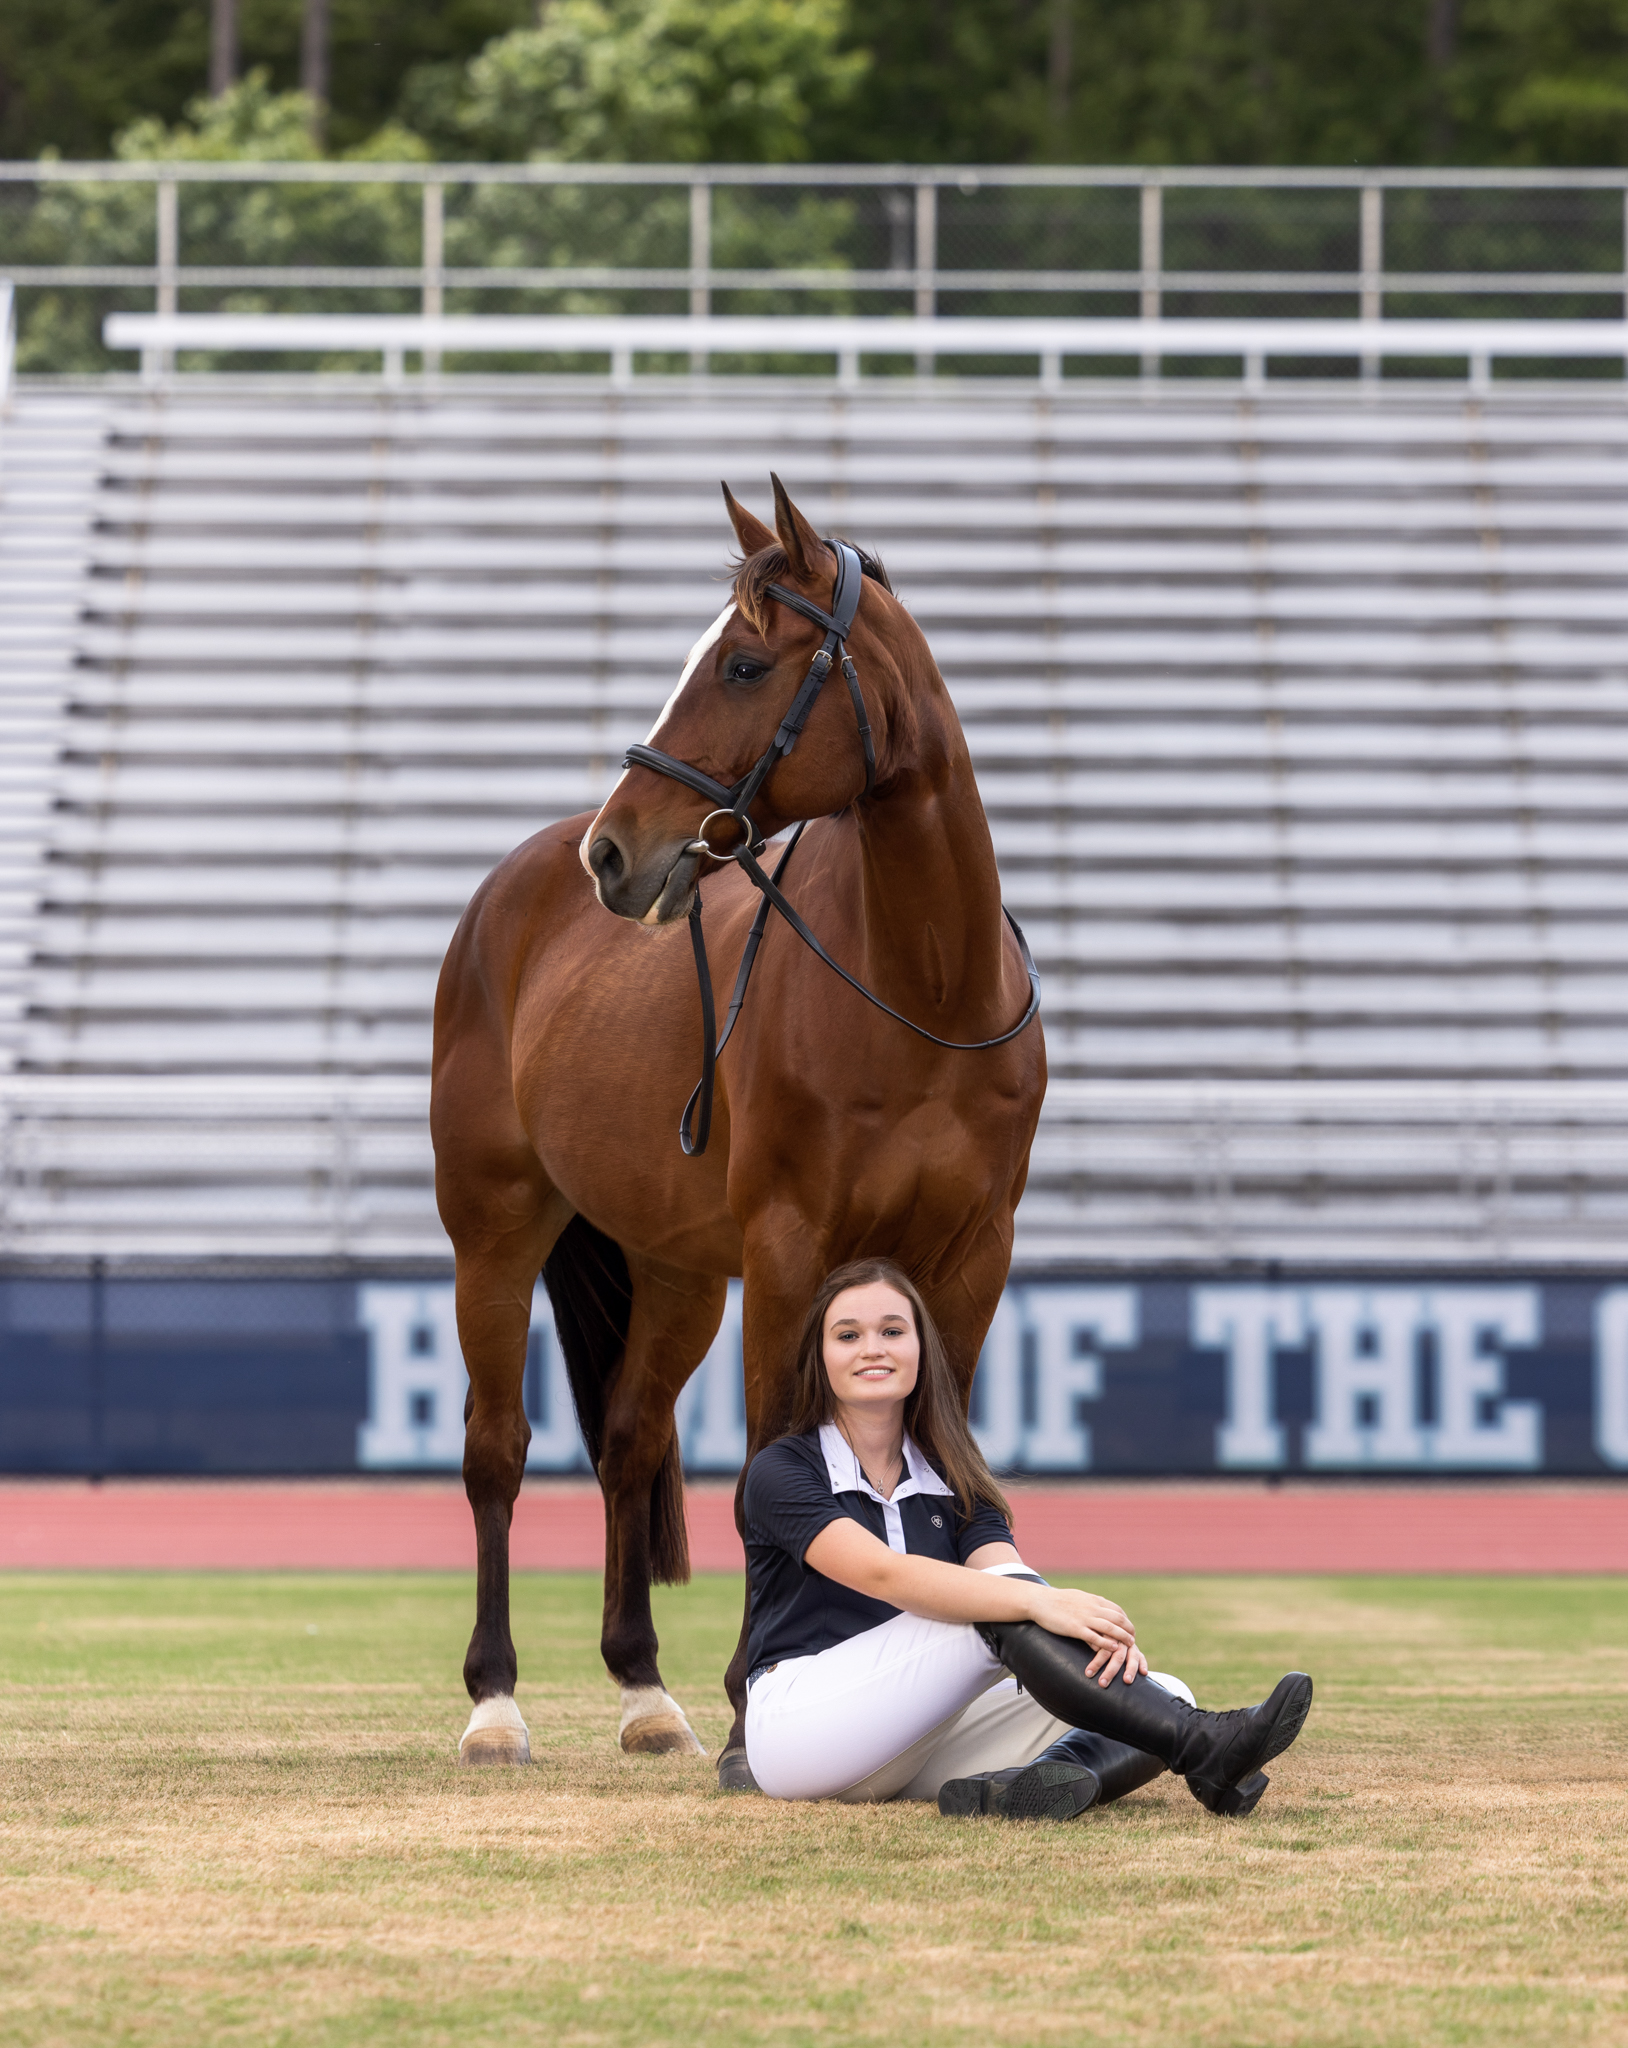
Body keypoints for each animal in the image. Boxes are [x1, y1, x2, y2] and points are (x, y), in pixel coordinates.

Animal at [432, 475, 1044, 1777]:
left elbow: (945, 1459)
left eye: (746, 664)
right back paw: (495, 1701)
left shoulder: (971, 1258)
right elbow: (773, 1453)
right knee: (496, 1447)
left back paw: (642, 1690)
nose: (613, 852)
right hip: (494, 1235)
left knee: (624, 1439)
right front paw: (754, 1690)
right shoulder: (787, 1250)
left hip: (672, 1273)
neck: (922, 990)